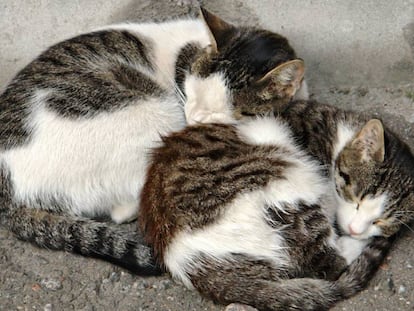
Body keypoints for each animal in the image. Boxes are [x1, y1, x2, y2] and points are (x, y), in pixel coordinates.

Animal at [0, 7, 308, 276]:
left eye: (221, 109)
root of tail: (11, 196)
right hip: (154, 112)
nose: (194, 117)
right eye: (195, 90)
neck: (188, 52)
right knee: (125, 206)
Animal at [139, 99, 414, 310]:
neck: (336, 138)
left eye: (380, 220)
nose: (356, 229)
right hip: (287, 181)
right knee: (329, 263)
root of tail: (179, 255)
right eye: (357, 198)